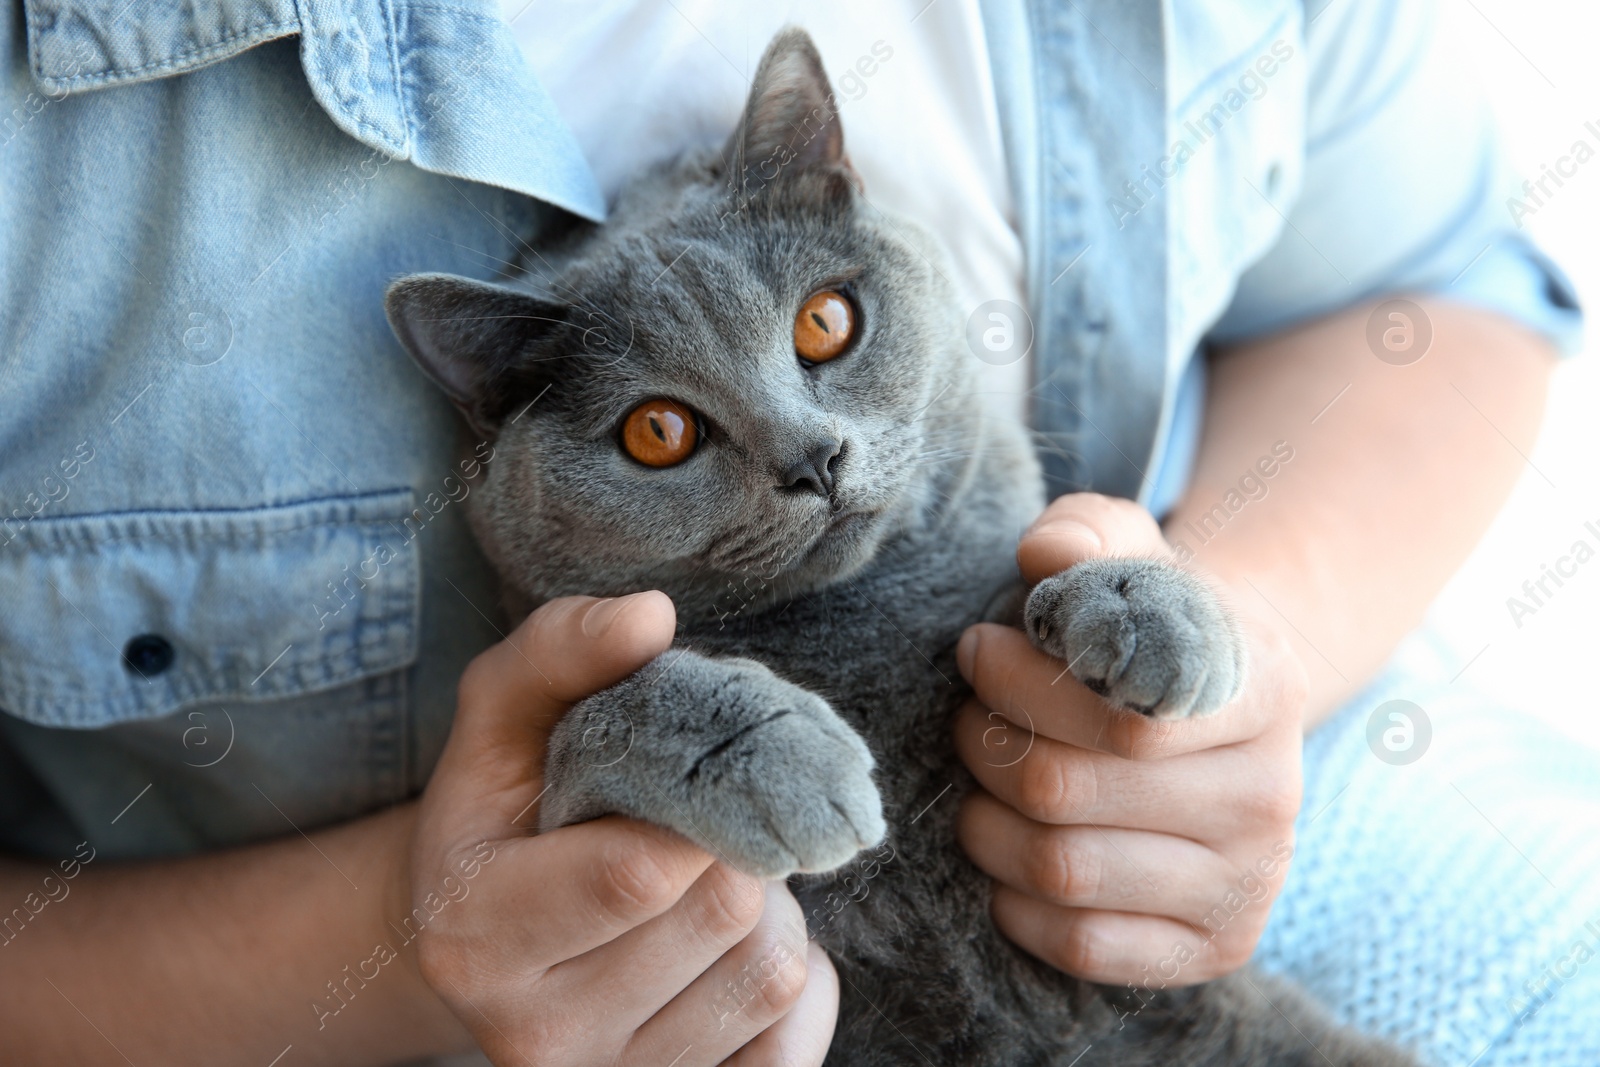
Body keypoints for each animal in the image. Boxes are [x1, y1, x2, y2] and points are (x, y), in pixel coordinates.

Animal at [384, 24, 1414, 1067]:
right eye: (658, 431)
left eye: (824, 321)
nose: (814, 457)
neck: (863, 623)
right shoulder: (554, 799)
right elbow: (602, 708)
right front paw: (781, 756)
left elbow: (1029, 584)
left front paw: (1149, 606)